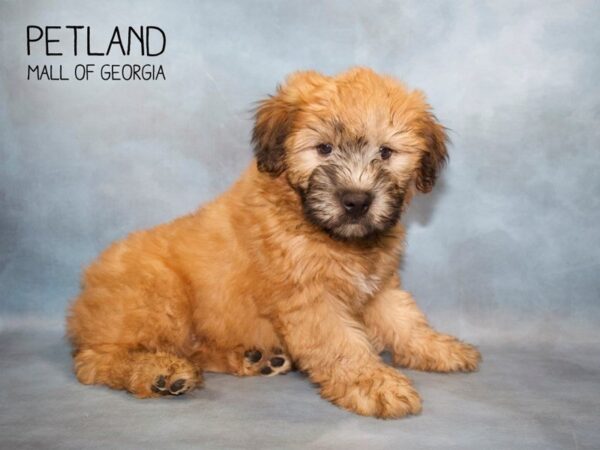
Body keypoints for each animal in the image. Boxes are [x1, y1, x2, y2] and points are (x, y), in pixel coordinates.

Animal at [67, 67, 478, 418]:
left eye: (386, 153)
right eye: (324, 149)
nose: (356, 201)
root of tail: (83, 296)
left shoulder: (378, 287)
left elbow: (405, 320)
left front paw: (439, 348)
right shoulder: (310, 299)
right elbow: (342, 345)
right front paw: (375, 385)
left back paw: (254, 359)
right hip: (157, 298)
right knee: (95, 361)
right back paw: (159, 372)